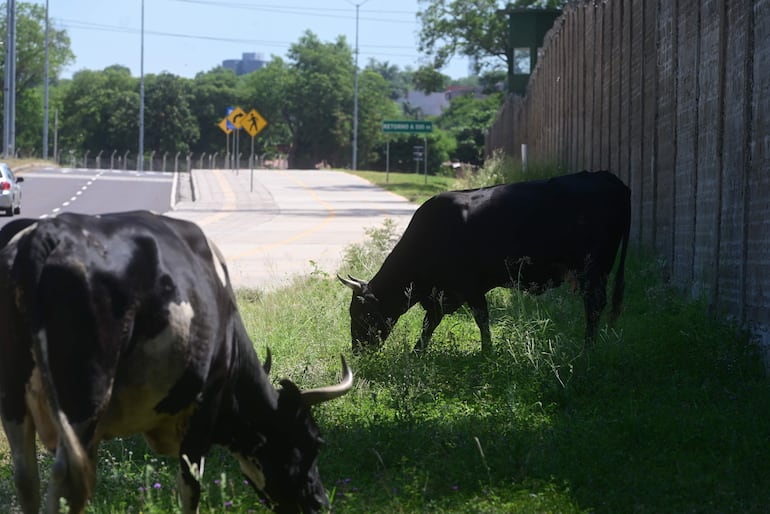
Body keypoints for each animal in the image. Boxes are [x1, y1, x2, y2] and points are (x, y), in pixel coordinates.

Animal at [0, 210, 352, 510]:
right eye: (313, 442)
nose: (321, 503)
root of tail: (47, 234)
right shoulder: (202, 410)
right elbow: (191, 486)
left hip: (15, 399)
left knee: (27, 478)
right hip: (86, 395)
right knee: (63, 479)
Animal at [340, 169, 628, 352]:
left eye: (363, 314)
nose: (358, 351)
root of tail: (607, 177)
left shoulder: (470, 287)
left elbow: (481, 320)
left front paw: (487, 353)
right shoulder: (443, 294)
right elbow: (429, 325)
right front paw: (417, 353)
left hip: (592, 271)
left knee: (594, 307)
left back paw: (587, 349)